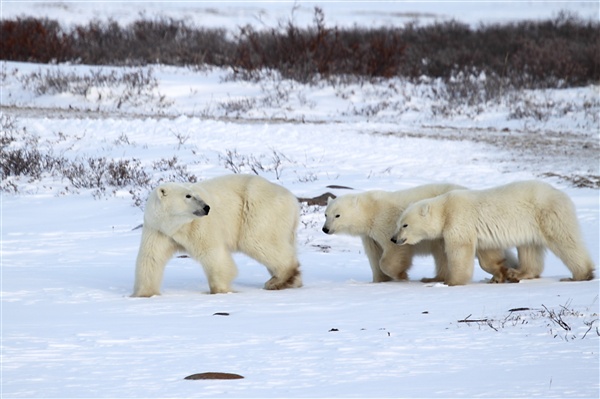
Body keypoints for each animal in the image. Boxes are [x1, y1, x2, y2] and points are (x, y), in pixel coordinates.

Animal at [131, 175, 300, 296]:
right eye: (188, 196)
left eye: (196, 195)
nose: (207, 207)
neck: (175, 226)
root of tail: (292, 199)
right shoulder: (157, 230)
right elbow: (151, 258)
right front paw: (144, 294)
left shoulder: (199, 226)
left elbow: (212, 253)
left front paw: (220, 290)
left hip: (259, 209)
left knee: (257, 241)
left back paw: (278, 280)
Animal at [322, 184, 516, 284]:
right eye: (326, 214)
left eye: (337, 215)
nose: (325, 229)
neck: (371, 209)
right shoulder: (369, 236)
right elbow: (374, 255)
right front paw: (379, 280)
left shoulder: (387, 223)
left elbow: (393, 251)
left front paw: (401, 275)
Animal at [394, 180, 596, 286]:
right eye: (398, 223)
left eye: (405, 225)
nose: (393, 239)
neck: (445, 209)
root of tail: (563, 195)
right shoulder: (480, 234)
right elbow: (488, 255)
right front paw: (500, 274)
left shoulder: (459, 220)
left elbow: (460, 251)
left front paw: (451, 281)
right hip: (531, 225)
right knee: (529, 249)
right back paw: (519, 274)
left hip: (547, 214)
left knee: (565, 241)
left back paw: (580, 275)